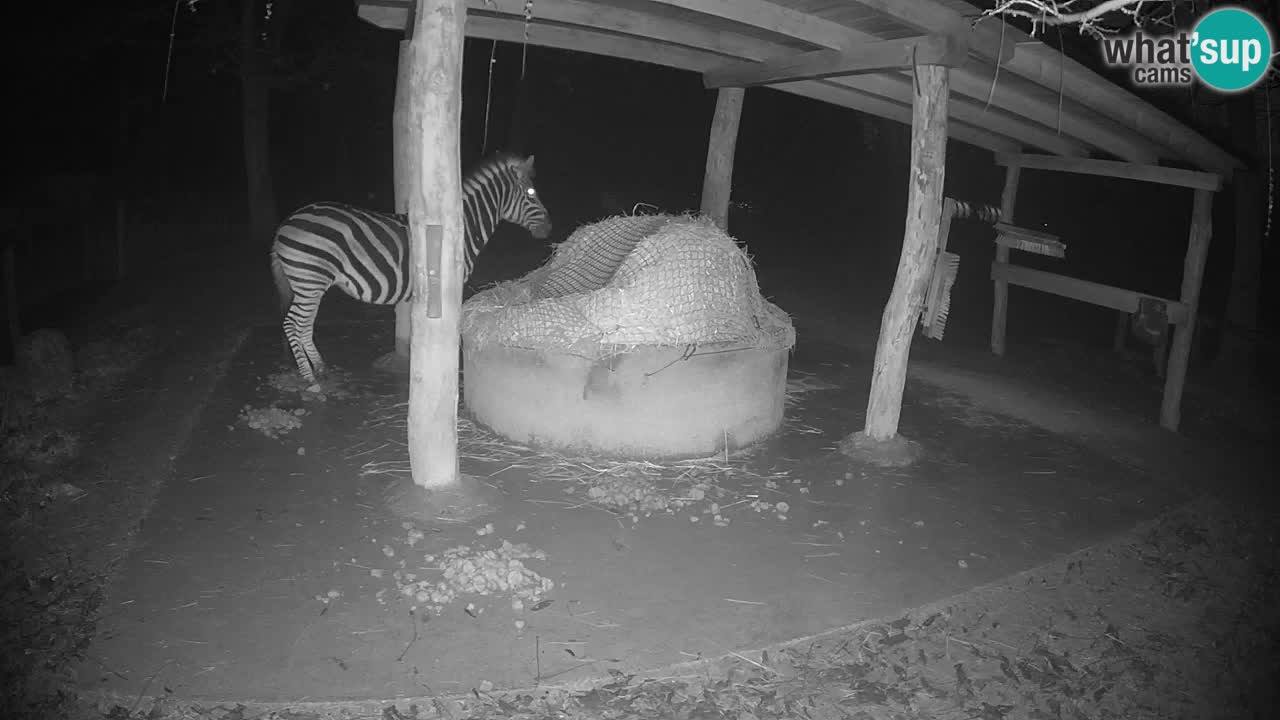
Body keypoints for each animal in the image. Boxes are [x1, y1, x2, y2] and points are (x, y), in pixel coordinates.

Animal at [269, 153, 552, 383]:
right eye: (530, 193)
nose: (549, 228)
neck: (461, 229)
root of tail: (286, 222)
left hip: (310, 285)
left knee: (304, 326)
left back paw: (320, 368)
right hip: (309, 280)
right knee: (292, 324)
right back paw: (309, 379)